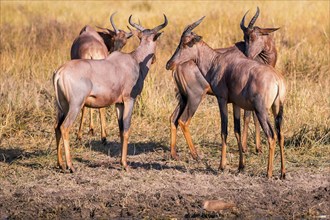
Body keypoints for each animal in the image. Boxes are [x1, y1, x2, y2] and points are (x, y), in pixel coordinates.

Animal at [70, 11, 132, 143]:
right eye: (114, 38)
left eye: (125, 42)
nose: (114, 53)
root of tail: (92, 51)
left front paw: (91, 129)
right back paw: (103, 136)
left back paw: (82, 135)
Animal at [168, 17, 286, 179]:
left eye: (185, 43)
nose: (169, 64)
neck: (217, 60)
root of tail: (277, 80)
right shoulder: (235, 103)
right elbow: (237, 130)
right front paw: (241, 165)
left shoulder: (222, 99)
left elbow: (225, 130)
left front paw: (222, 165)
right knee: (280, 135)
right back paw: (282, 172)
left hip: (260, 110)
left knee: (272, 135)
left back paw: (269, 173)